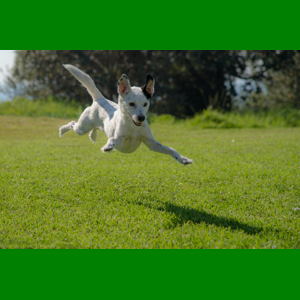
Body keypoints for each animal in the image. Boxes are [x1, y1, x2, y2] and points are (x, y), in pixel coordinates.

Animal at [59, 64, 193, 165]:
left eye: (145, 104)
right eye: (131, 104)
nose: (141, 118)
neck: (133, 127)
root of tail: (100, 99)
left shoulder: (151, 143)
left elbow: (170, 149)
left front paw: (183, 159)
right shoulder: (120, 141)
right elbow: (112, 139)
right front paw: (108, 146)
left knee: (94, 128)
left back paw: (92, 135)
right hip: (82, 128)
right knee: (73, 124)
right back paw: (62, 130)